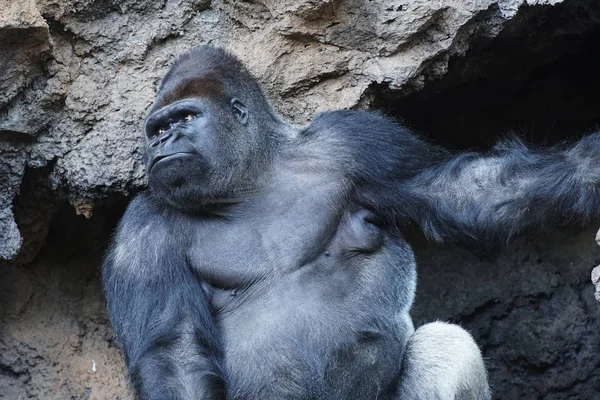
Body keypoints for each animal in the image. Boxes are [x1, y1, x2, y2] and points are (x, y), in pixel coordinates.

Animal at [103, 45, 600, 398]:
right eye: (156, 129)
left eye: (185, 117)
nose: (162, 142)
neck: (250, 177)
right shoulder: (144, 228)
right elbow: (175, 354)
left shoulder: (356, 142)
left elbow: (464, 190)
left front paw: (587, 170)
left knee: (446, 345)